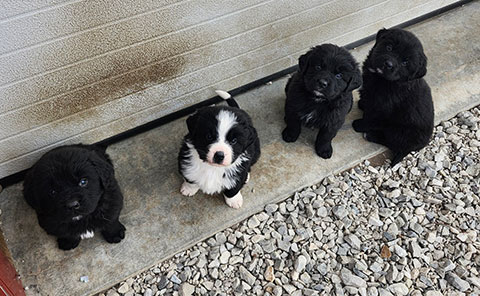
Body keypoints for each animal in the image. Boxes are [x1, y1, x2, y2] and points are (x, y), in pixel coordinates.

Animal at [352, 28, 436, 166]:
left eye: (405, 62)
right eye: (389, 47)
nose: (388, 64)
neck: (383, 79)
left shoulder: (381, 108)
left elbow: (370, 119)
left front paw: (359, 124)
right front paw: (362, 104)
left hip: (398, 131)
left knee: (391, 142)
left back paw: (371, 136)